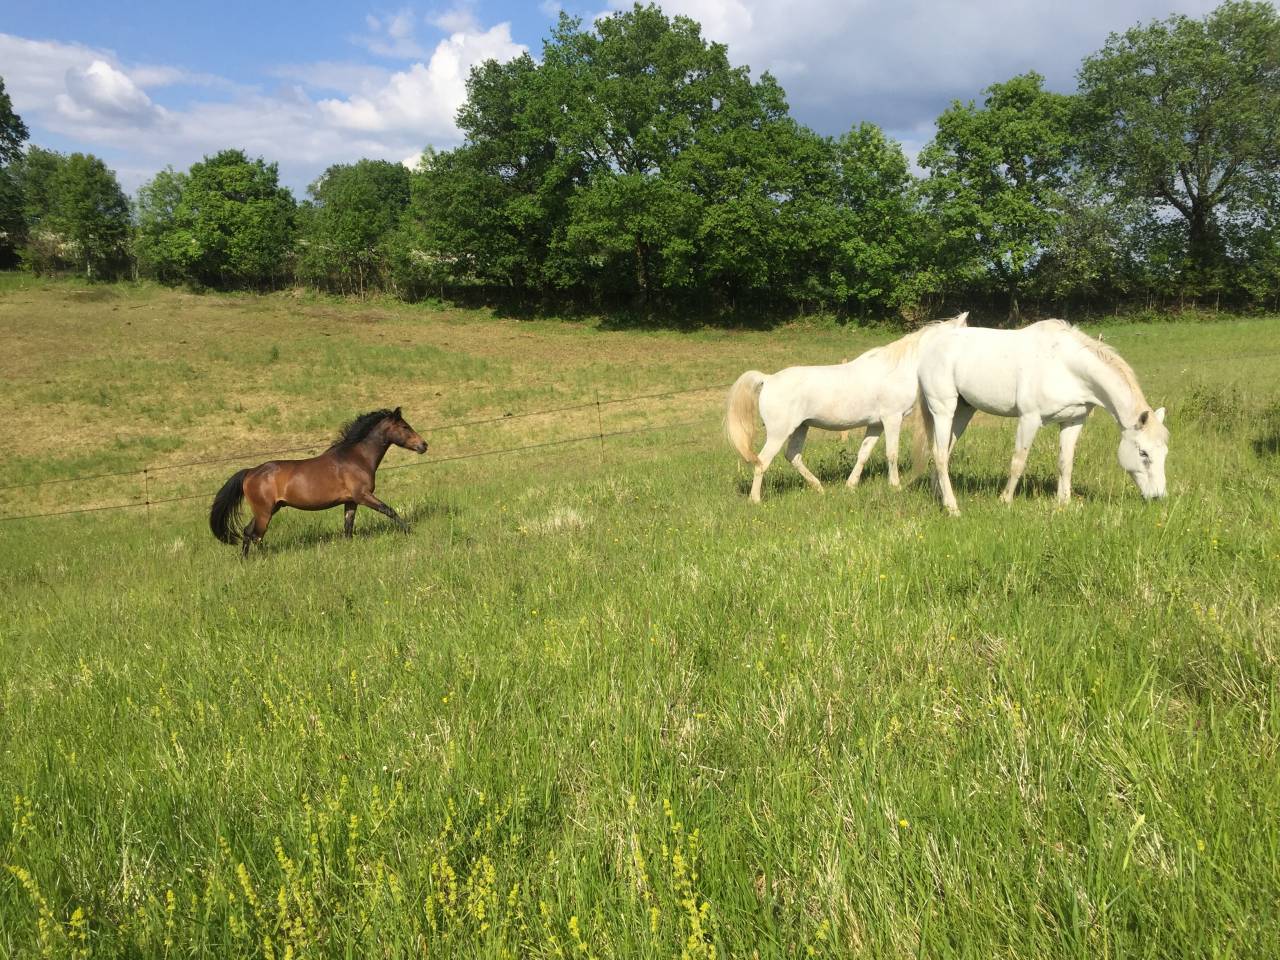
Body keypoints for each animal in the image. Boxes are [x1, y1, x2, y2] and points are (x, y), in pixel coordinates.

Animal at [209, 407, 428, 555]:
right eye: (405, 427)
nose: (424, 445)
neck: (357, 458)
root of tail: (250, 472)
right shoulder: (363, 496)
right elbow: (389, 510)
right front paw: (410, 530)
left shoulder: (351, 501)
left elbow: (348, 527)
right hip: (264, 512)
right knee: (256, 535)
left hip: (269, 509)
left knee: (248, 532)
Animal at [725, 312, 969, 502]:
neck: (897, 368)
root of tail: (767, 379)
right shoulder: (892, 418)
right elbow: (892, 453)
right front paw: (895, 487)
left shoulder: (876, 425)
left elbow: (864, 453)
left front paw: (850, 486)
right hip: (778, 433)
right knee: (762, 461)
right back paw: (755, 499)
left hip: (801, 427)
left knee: (792, 456)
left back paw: (819, 487)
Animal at [914, 319, 1169, 516]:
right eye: (1143, 453)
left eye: (1164, 453)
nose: (1158, 497)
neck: (1066, 366)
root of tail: (932, 345)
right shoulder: (1029, 419)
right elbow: (1018, 461)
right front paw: (1005, 500)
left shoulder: (1073, 421)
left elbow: (1066, 462)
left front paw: (1063, 503)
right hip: (943, 410)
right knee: (940, 454)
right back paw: (952, 508)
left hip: (963, 411)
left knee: (944, 451)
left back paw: (939, 495)